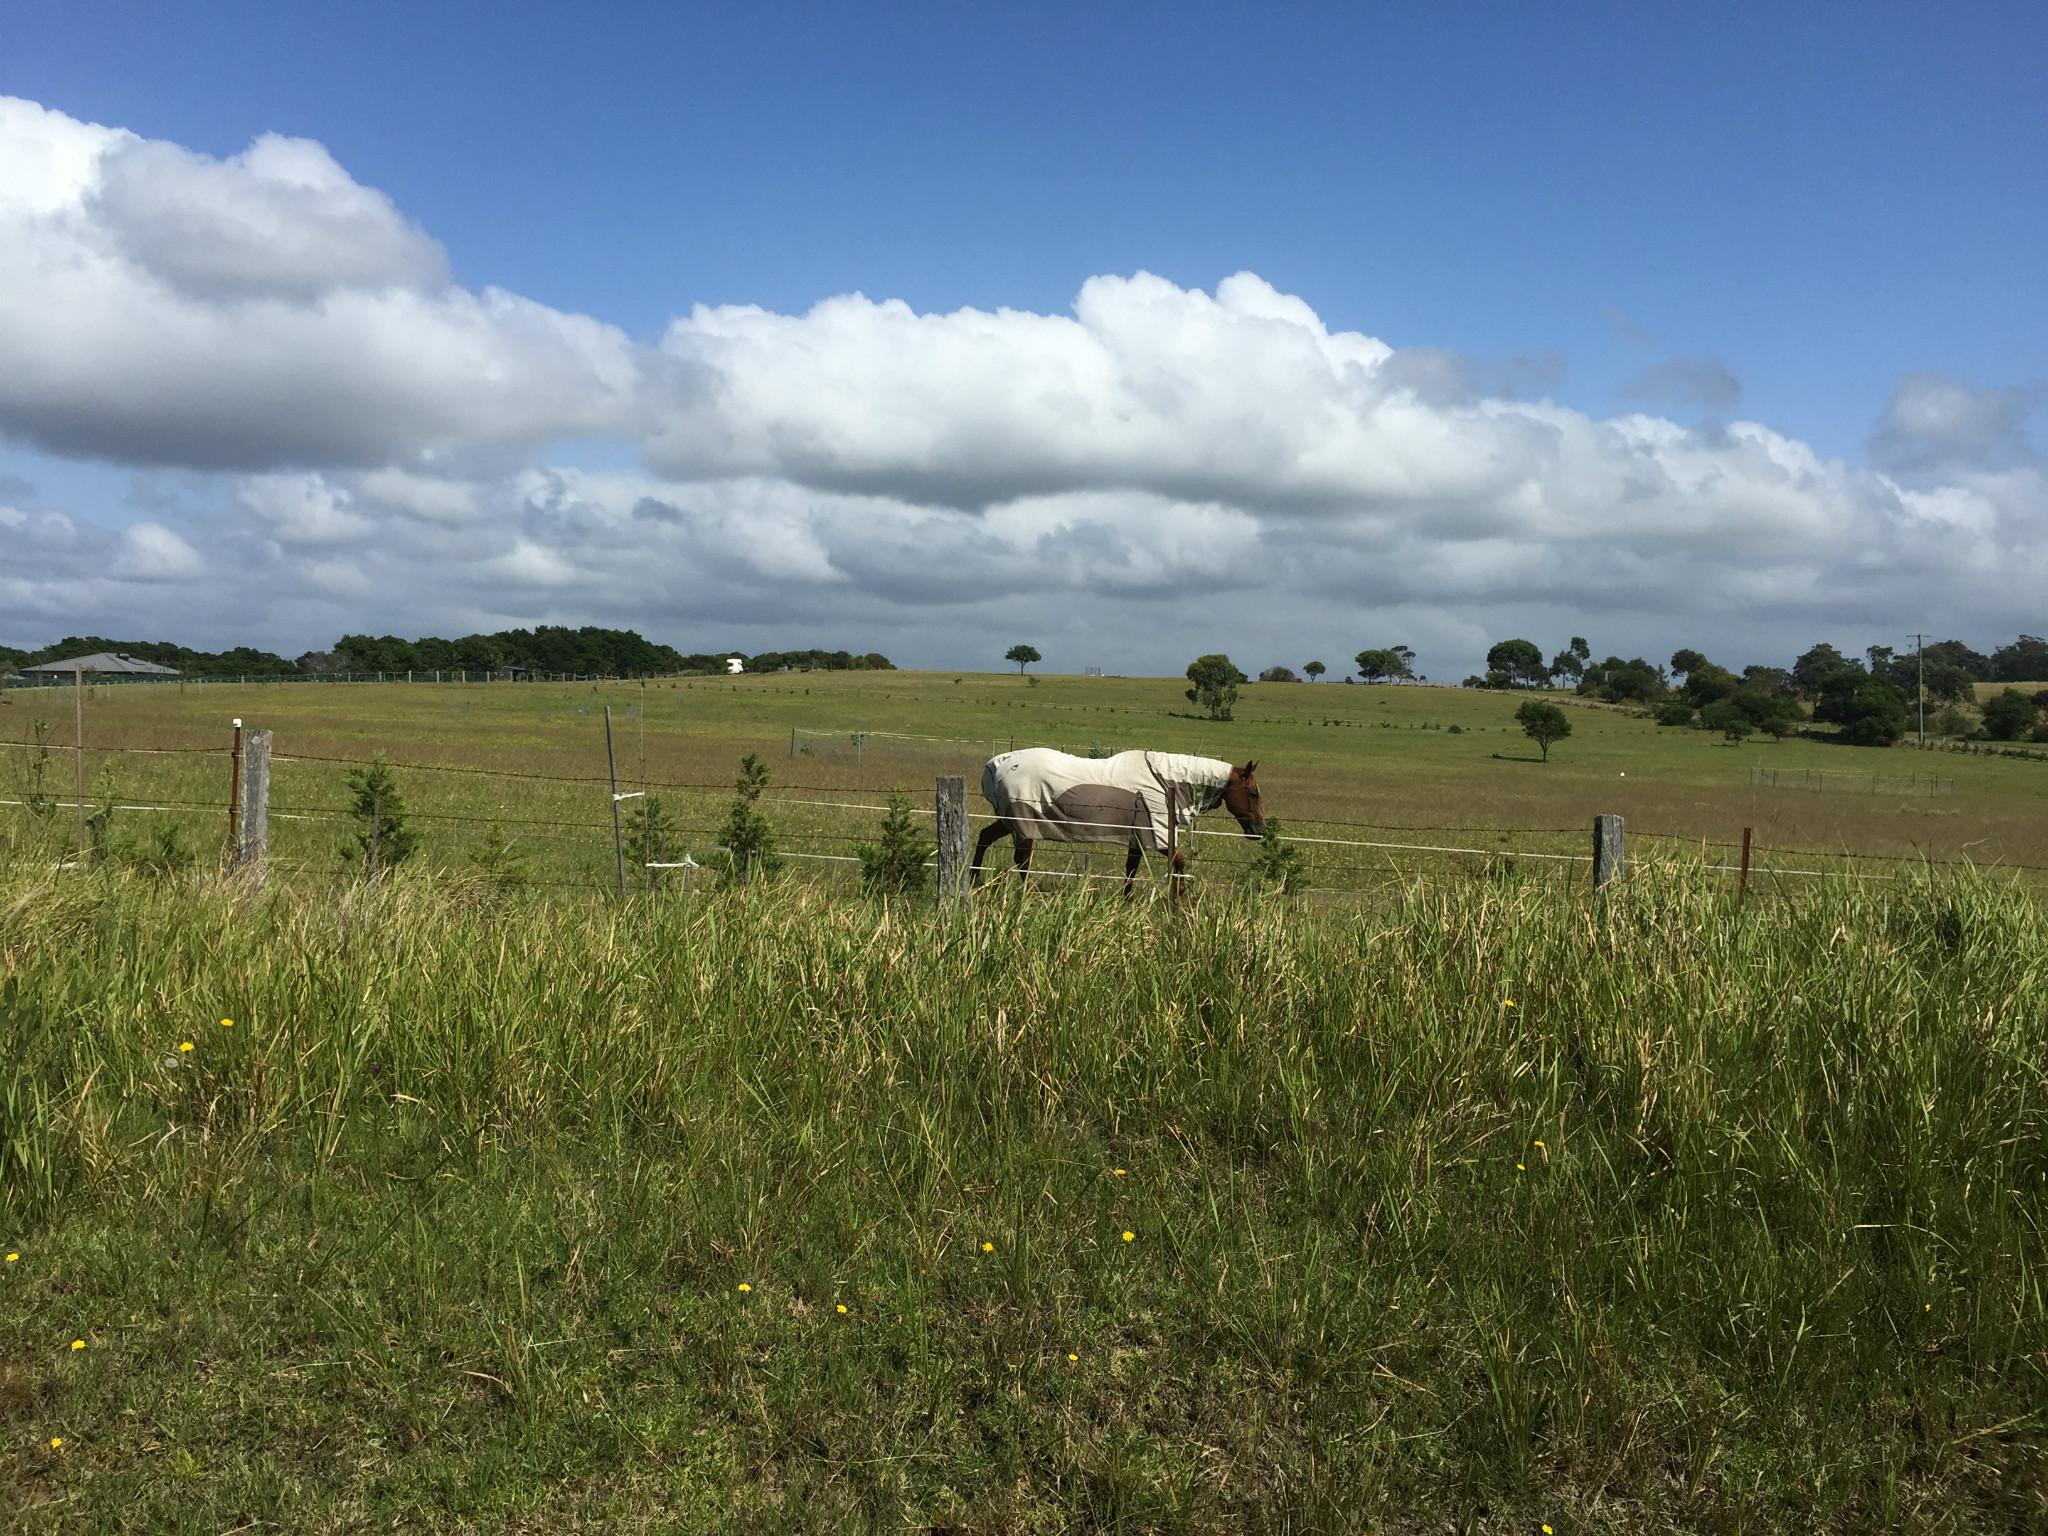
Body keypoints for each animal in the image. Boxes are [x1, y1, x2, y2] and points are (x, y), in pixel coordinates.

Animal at [970, 753, 1261, 897]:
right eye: (1252, 793)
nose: (1258, 831)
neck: (1165, 781)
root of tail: (997, 764)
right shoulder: (1157, 837)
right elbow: (1178, 862)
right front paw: (1179, 896)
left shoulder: (1137, 839)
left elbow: (1131, 870)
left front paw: (1127, 901)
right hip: (1023, 824)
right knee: (1022, 860)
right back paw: (1031, 895)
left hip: (1008, 823)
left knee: (985, 838)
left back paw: (975, 880)